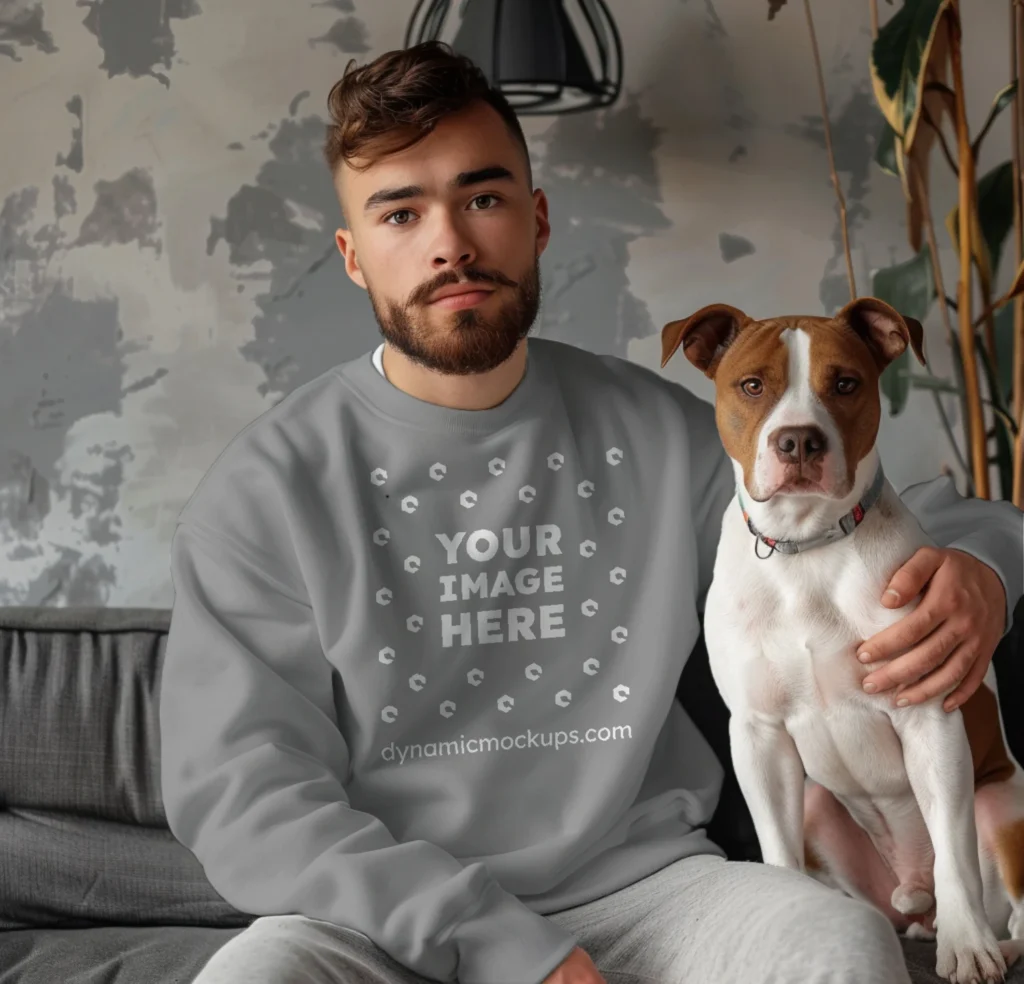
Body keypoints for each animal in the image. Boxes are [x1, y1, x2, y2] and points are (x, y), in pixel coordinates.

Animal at [659, 294, 1024, 978]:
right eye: (752, 385)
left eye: (846, 384)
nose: (798, 439)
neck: (806, 547)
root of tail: (912, 897)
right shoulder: (758, 735)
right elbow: (776, 852)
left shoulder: (928, 716)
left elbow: (954, 849)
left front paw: (966, 949)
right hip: (818, 806)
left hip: (1003, 806)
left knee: (1005, 902)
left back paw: (987, 940)